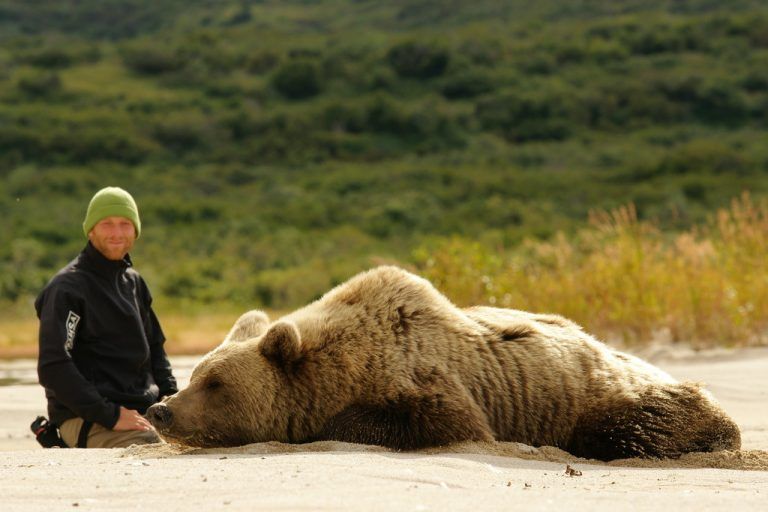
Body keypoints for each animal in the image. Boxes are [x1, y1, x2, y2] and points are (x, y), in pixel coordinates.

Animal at [147, 266, 741, 461]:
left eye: (214, 383)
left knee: (630, 425)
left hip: (615, 394)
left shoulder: (424, 376)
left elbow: (442, 420)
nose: (161, 410)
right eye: (195, 375)